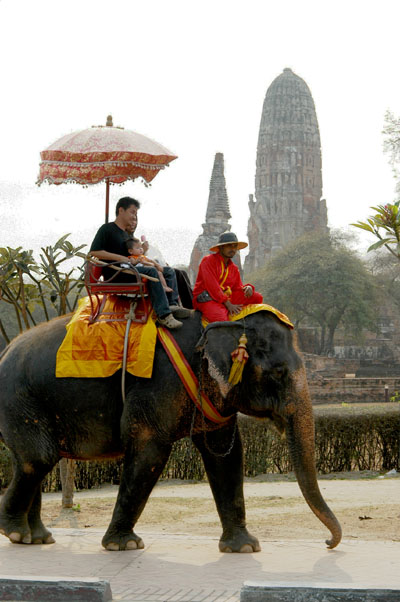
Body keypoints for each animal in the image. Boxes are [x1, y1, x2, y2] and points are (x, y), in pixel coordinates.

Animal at [0, 310, 340, 548]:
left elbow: (227, 457)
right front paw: (125, 545)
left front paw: (244, 548)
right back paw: (16, 534)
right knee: (39, 459)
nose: (328, 542)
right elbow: (151, 453)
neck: (222, 320)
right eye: (278, 373)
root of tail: (6, 349)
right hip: (18, 398)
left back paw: (37, 538)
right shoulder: (157, 385)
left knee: (31, 461)